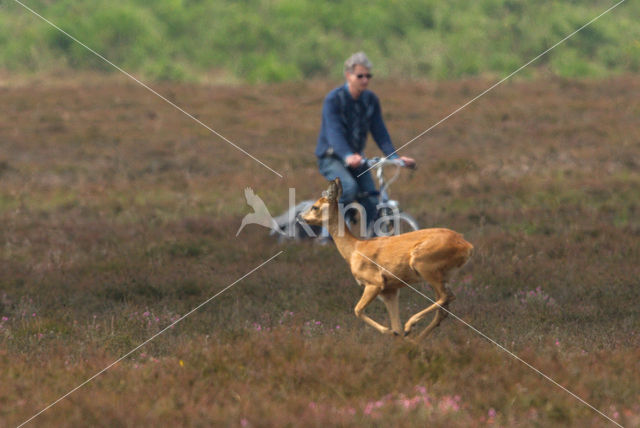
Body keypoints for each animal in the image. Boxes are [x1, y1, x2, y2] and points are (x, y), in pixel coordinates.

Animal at [298, 177, 470, 342]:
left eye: (315, 206)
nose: (300, 217)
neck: (355, 249)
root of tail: (466, 245)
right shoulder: (389, 291)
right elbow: (396, 324)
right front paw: (398, 335)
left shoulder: (375, 283)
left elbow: (357, 310)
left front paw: (389, 331)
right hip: (440, 275)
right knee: (444, 309)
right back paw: (414, 338)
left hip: (425, 266)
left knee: (447, 297)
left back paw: (410, 326)